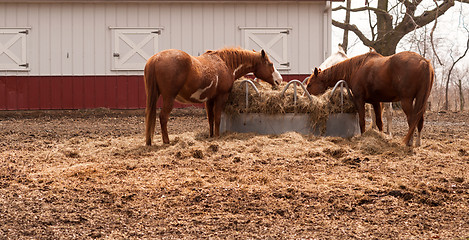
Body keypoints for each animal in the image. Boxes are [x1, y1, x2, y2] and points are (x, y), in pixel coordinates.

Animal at [143, 47, 282, 144]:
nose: (279, 80)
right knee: (163, 117)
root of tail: (156, 58)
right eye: (270, 64)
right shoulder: (221, 97)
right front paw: (217, 136)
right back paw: (166, 141)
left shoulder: (209, 100)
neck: (226, 64)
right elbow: (217, 118)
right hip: (169, 98)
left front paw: (210, 136)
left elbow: (210, 118)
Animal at [306, 51, 434, 146]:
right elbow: (379, 122)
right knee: (420, 120)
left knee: (412, 120)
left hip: (406, 101)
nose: (306, 96)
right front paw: (381, 137)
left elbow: (362, 121)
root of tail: (424, 62)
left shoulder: (360, 100)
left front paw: (363, 136)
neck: (357, 68)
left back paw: (409, 142)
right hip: (421, 100)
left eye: (309, 84)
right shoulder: (375, 102)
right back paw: (418, 143)